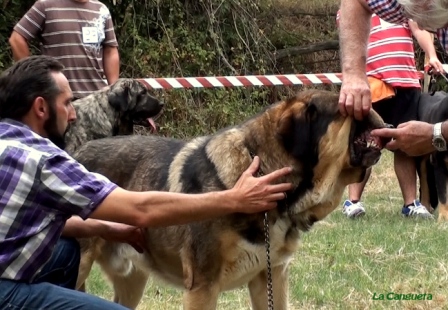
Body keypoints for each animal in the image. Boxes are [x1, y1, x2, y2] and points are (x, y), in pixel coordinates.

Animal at [73, 89, 388, 308]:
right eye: (346, 107)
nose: (371, 101)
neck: (261, 169)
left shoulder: (271, 278)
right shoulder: (202, 286)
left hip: (133, 280)